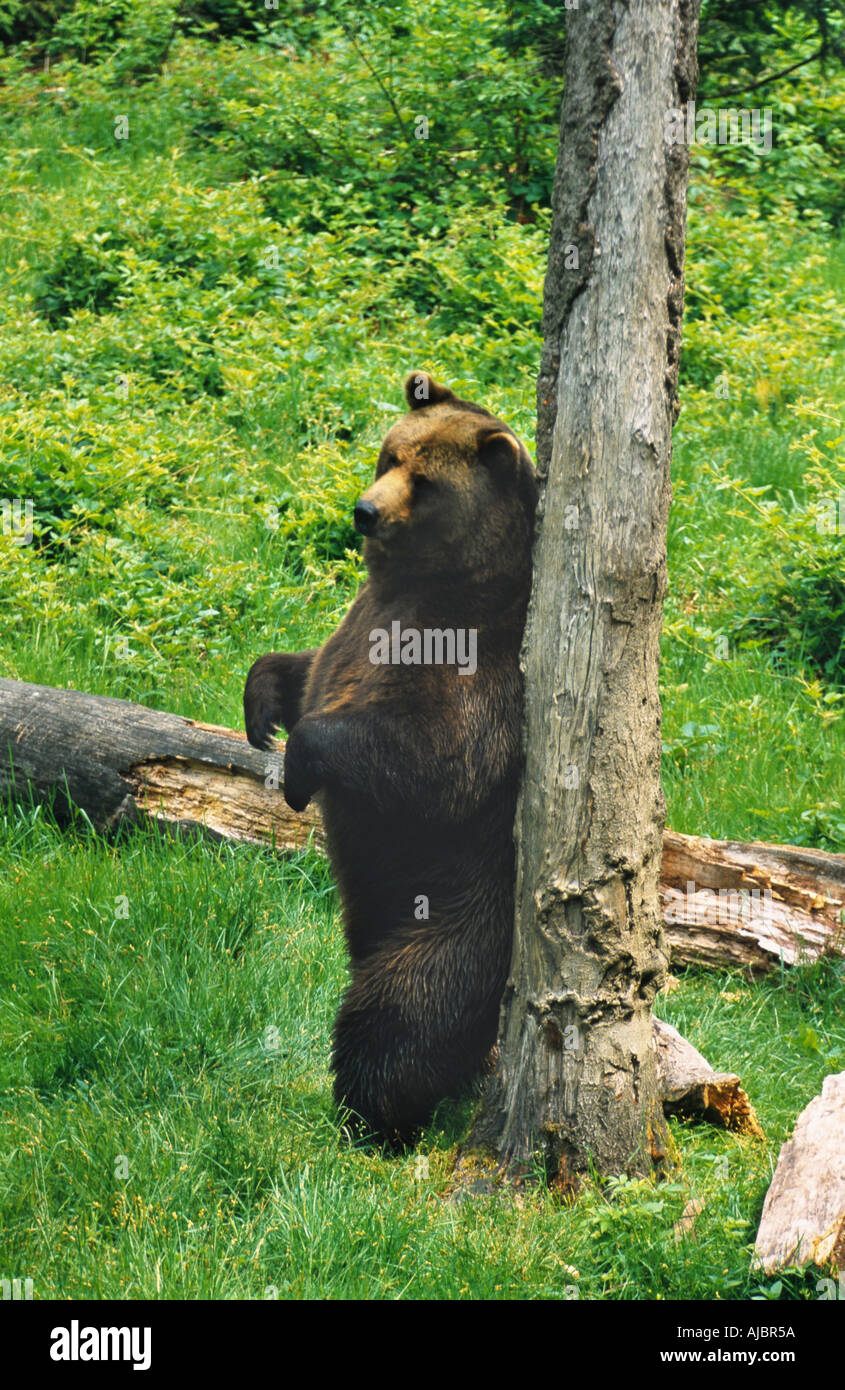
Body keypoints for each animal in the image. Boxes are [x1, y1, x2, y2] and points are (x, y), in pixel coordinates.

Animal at [240, 369, 539, 1139]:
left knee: (400, 1017)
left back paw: (368, 1119)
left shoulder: (473, 671)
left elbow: (432, 763)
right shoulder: (358, 623)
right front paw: (262, 711)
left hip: (454, 923)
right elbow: (308, 669)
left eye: (425, 481)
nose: (364, 511)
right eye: (391, 453)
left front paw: (297, 769)